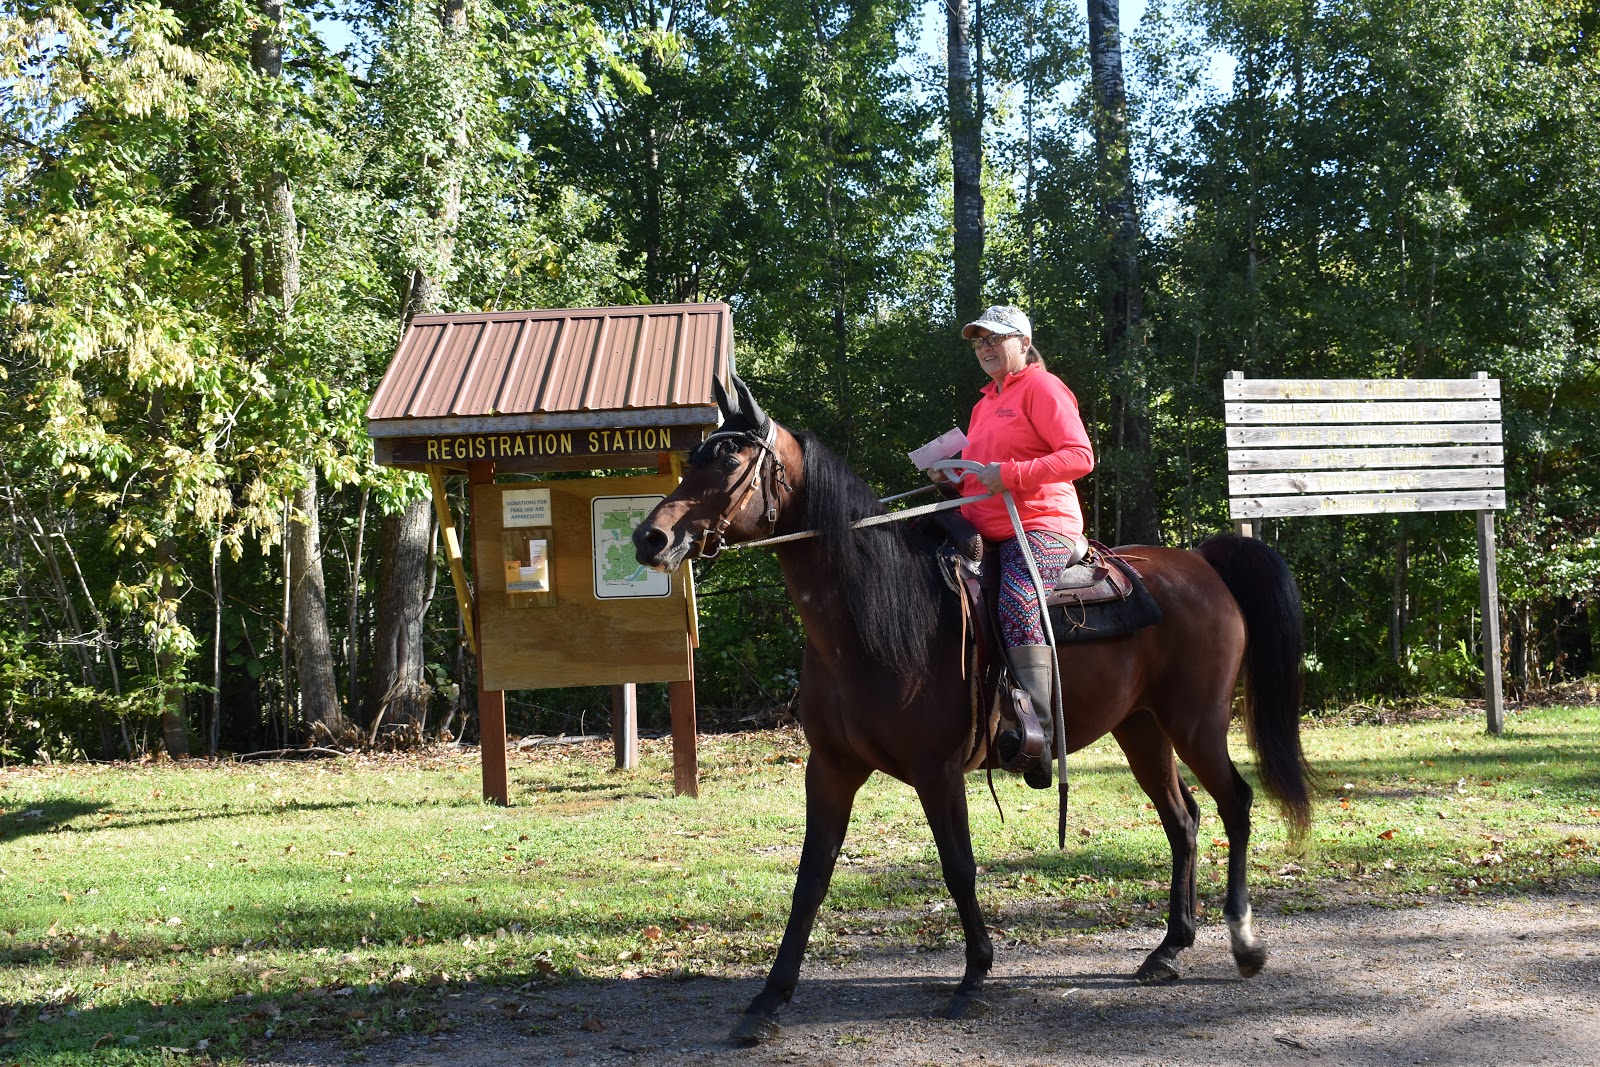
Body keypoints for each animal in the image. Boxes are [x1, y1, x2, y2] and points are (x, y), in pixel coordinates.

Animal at [632, 376, 1311, 1045]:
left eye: (729, 459)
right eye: (694, 458)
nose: (650, 538)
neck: (875, 620)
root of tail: (1201, 562)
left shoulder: (936, 770)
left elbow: (959, 866)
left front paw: (975, 975)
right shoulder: (830, 768)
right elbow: (811, 878)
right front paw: (768, 1000)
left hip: (1196, 723)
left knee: (1235, 803)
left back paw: (1243, 943)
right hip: (1141, 728)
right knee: (1182, 818)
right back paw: (1169, 948)